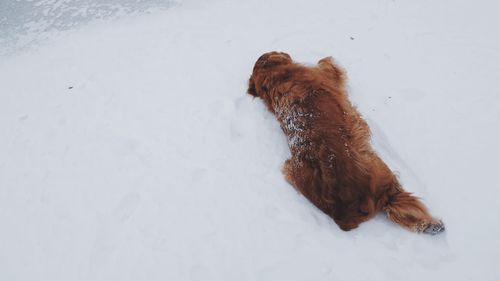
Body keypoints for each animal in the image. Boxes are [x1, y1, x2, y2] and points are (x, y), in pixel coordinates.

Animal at [248, 51, 444, 233]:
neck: (274, 78)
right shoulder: (327, 74)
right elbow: (328, 64)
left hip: (288, 168)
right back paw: (430, 224)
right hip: (380, 169)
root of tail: (341, 210)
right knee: (397, 202)